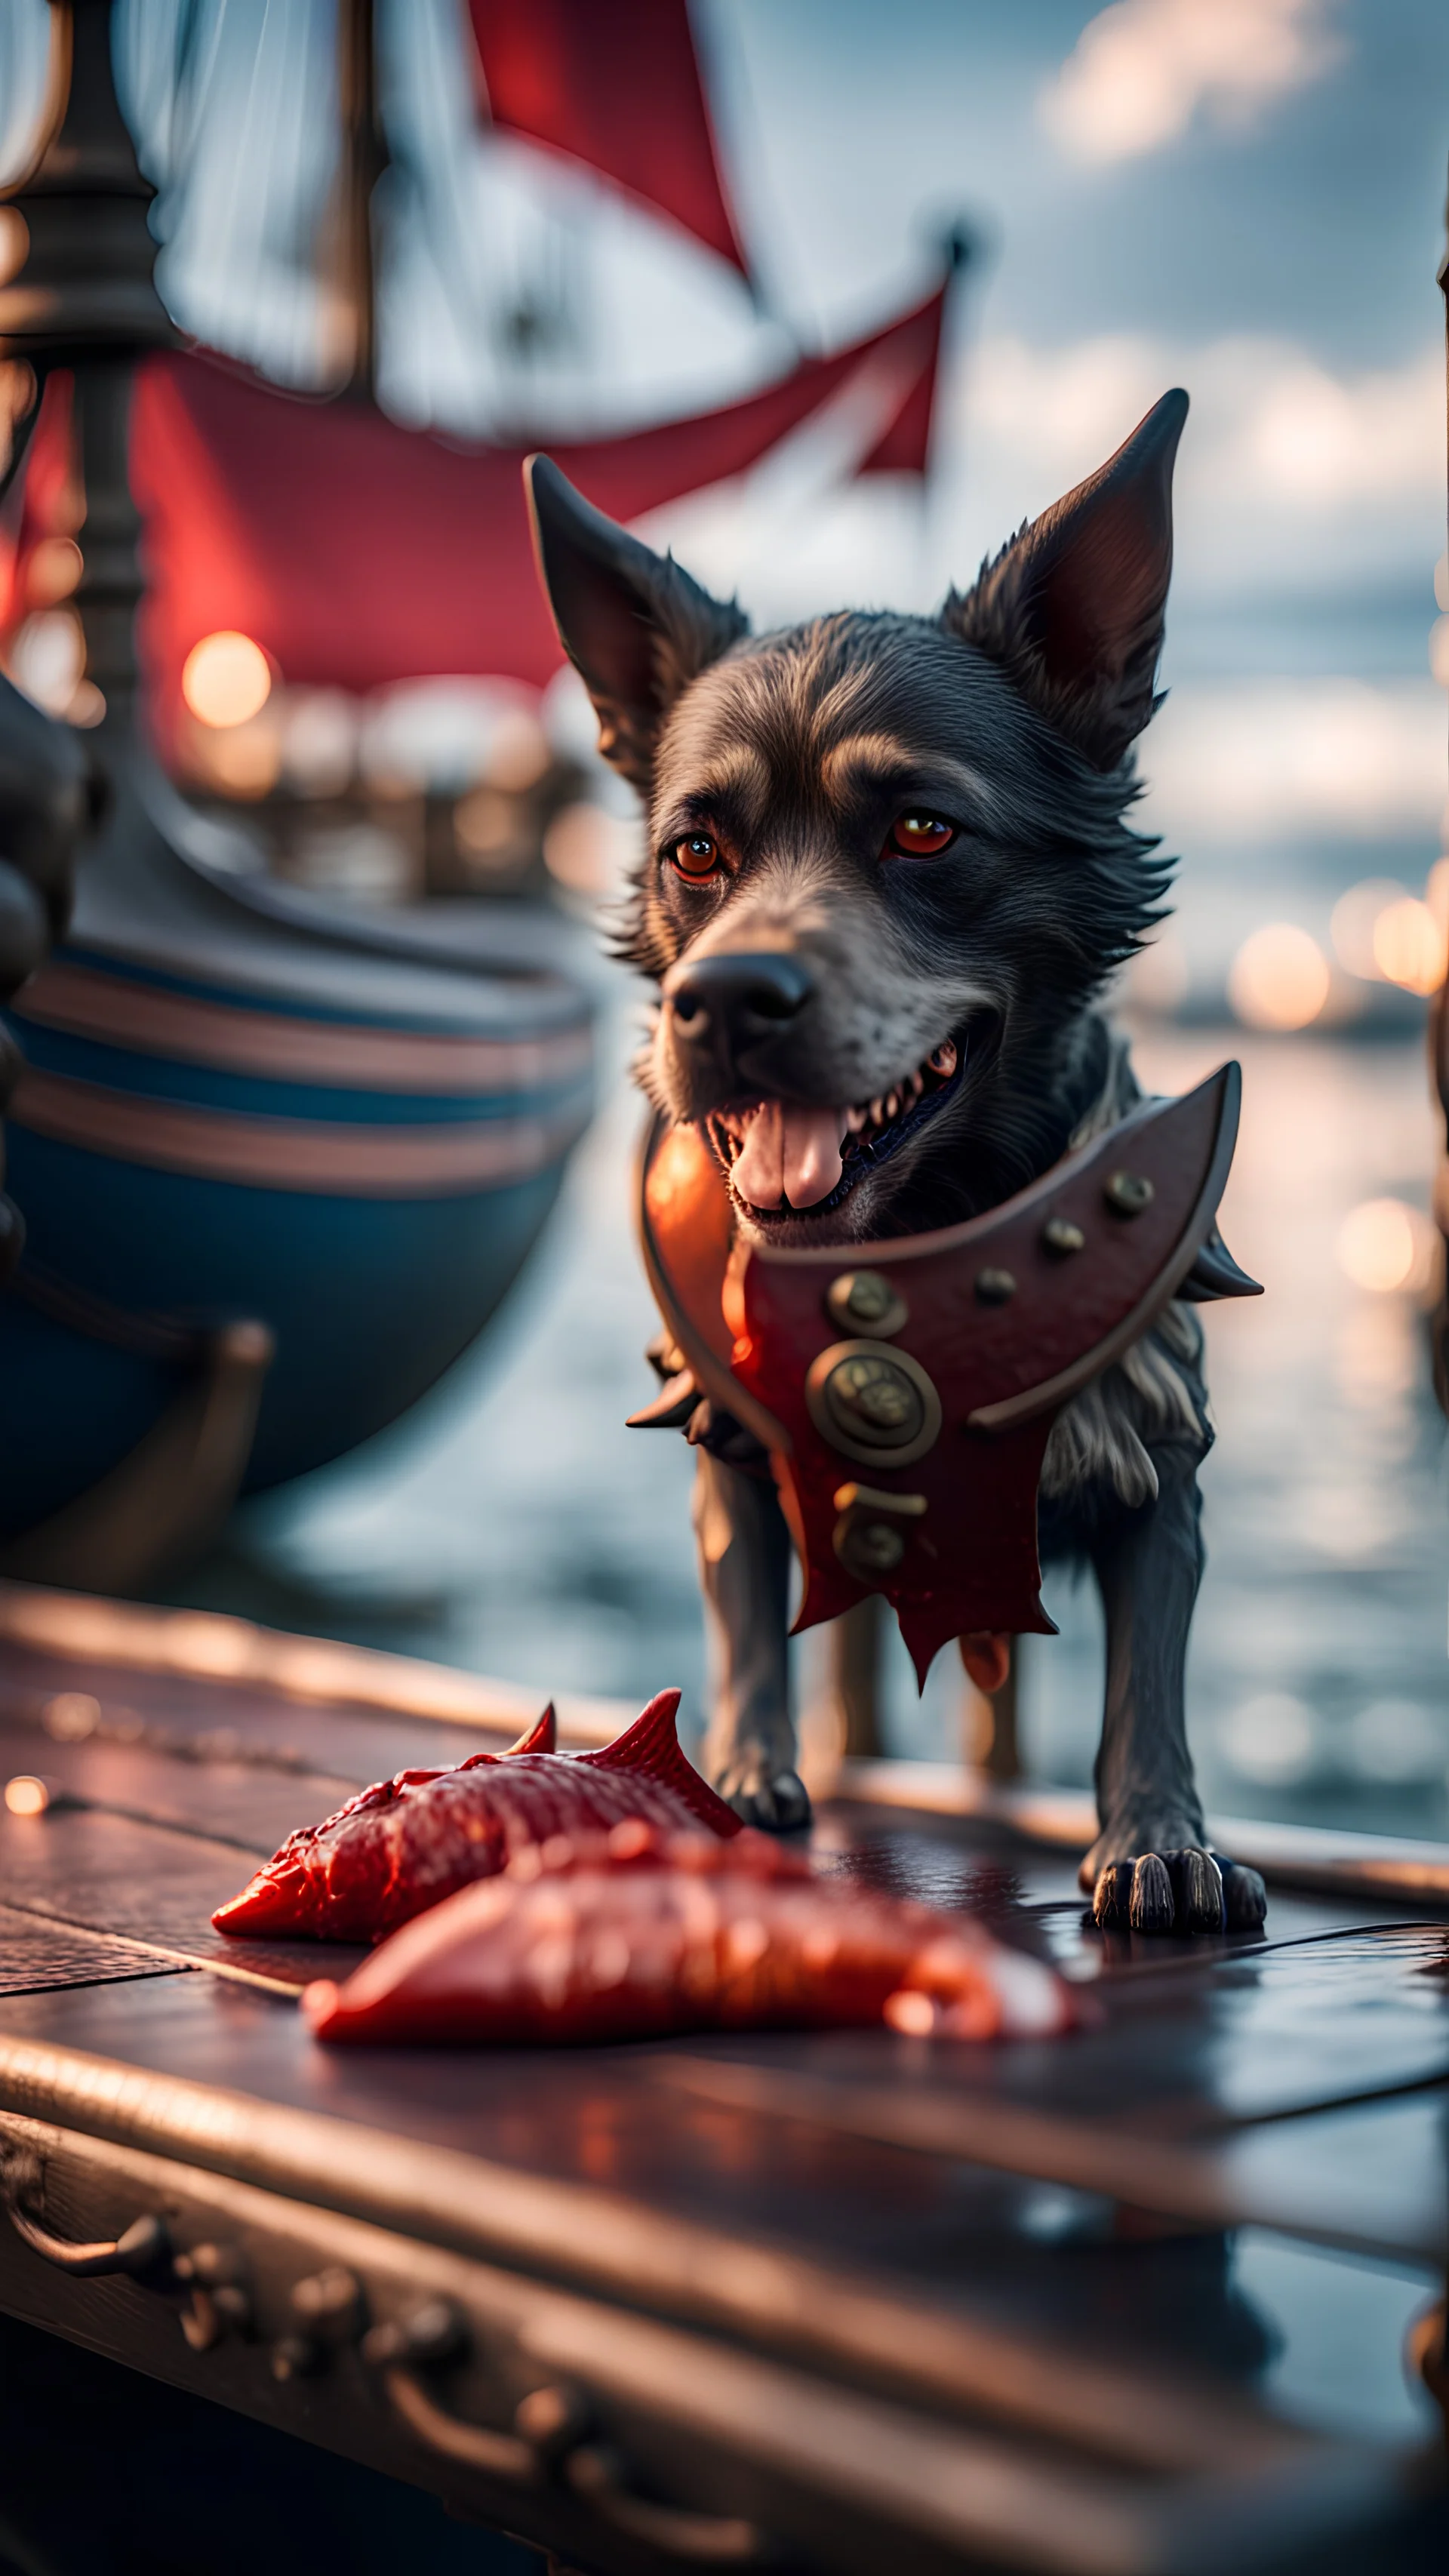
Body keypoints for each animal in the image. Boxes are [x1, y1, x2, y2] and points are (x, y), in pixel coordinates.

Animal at [530, 396, 1271, 1937]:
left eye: (925, 829)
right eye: (697, 849)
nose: (725, 1002)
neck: (909, 1242)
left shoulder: (1156, 1453)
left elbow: (1148, 1673)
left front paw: (1160, 1839)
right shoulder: (733, 1443)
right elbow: (745, 1615)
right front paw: (746, 1771)